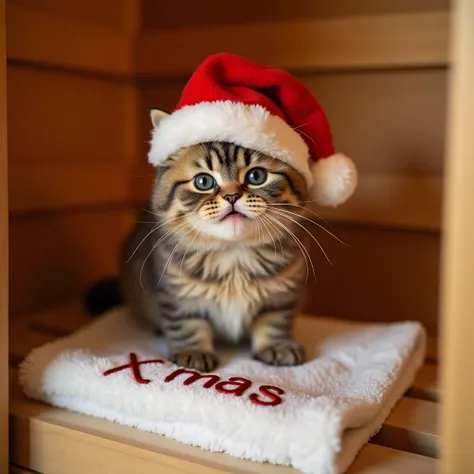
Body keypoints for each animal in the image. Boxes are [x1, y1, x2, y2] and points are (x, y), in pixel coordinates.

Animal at [120, 139, 312, 372]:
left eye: (256, 176)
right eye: (203, 182)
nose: (231, 196)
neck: (234, 255)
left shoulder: (282, 294)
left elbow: (276, 320)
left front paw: (277, 346)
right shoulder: (176, 295)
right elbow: (187, 325)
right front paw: (193, 352)